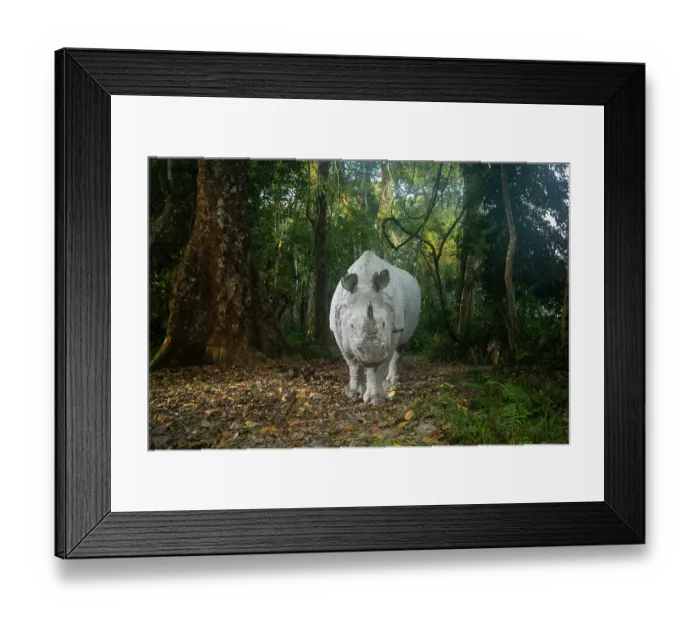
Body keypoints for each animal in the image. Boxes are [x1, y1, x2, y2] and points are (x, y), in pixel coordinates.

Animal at [330, 250, 421, 405]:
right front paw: (352, 393)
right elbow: (352, 362)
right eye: (351, 326)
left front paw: (376, 400)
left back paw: (390, 383)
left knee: (401, 344)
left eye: (384, 324)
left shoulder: (394, 327)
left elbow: (378, 366)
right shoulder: (337, 328)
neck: (364, 283)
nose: (372, 351)